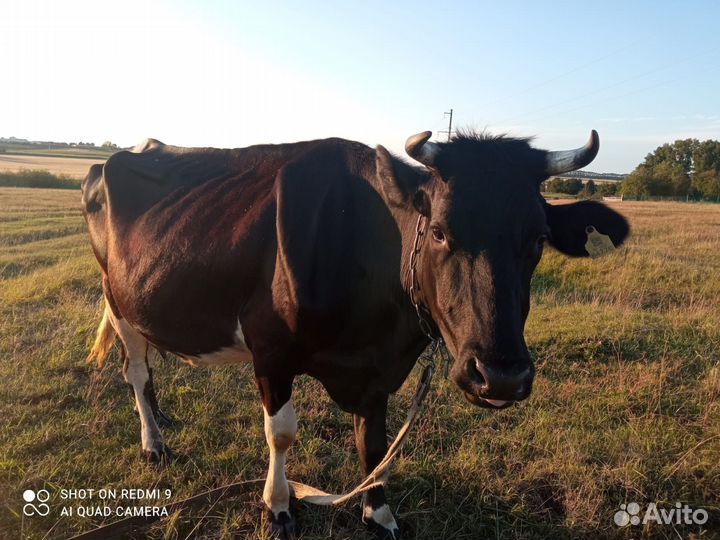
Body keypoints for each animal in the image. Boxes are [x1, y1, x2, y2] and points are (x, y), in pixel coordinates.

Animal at [81, 130, 629, 539]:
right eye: (439, 232)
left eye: (537, 239)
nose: (500, 376)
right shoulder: (271, 350)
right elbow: (281, 433)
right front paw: (278, 507)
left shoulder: (378, 371)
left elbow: (375, 442)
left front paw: (378, 513)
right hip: (116, 296)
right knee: (136, 371)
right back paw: (154, 443)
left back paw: (162, 420)